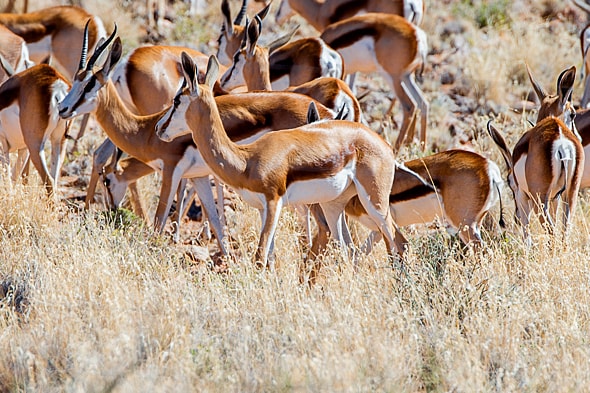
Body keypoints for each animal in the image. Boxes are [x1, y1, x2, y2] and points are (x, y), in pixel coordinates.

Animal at [0, 62, 71, 194]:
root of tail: (57, 85)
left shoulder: (4, 145)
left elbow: (7, 180)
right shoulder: (23, 149)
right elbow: (13, 177)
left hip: (35, 146)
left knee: (49, 181)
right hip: (58, 142)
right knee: (54, 179)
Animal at [155, 52, 410, 266]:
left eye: (177, 100)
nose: (158, 128)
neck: (247, 159)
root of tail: (383, 144)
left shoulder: (273, 203)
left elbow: (260, 258)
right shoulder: (262, 208)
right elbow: (270, 258)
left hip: (375, 203)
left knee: (399, 242)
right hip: (333, 205)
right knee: (350, 249)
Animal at [320, 13, 430, 151]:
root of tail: (417, 35)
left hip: (392, 77)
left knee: (410, 106)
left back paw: (396, 149)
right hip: (406, 77)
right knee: (423, 103)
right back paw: (421, 148)